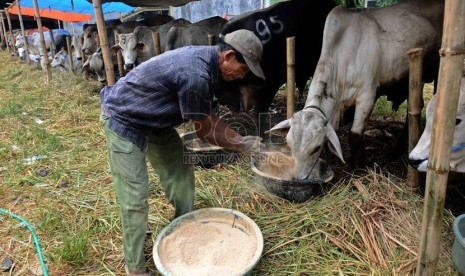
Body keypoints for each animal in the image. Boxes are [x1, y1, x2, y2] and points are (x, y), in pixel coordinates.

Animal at [268, 0, 442, 179]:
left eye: (315, 148)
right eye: (289, 144)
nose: (298, 178)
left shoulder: (367, 95)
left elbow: (355, 134)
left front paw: (357, 165)